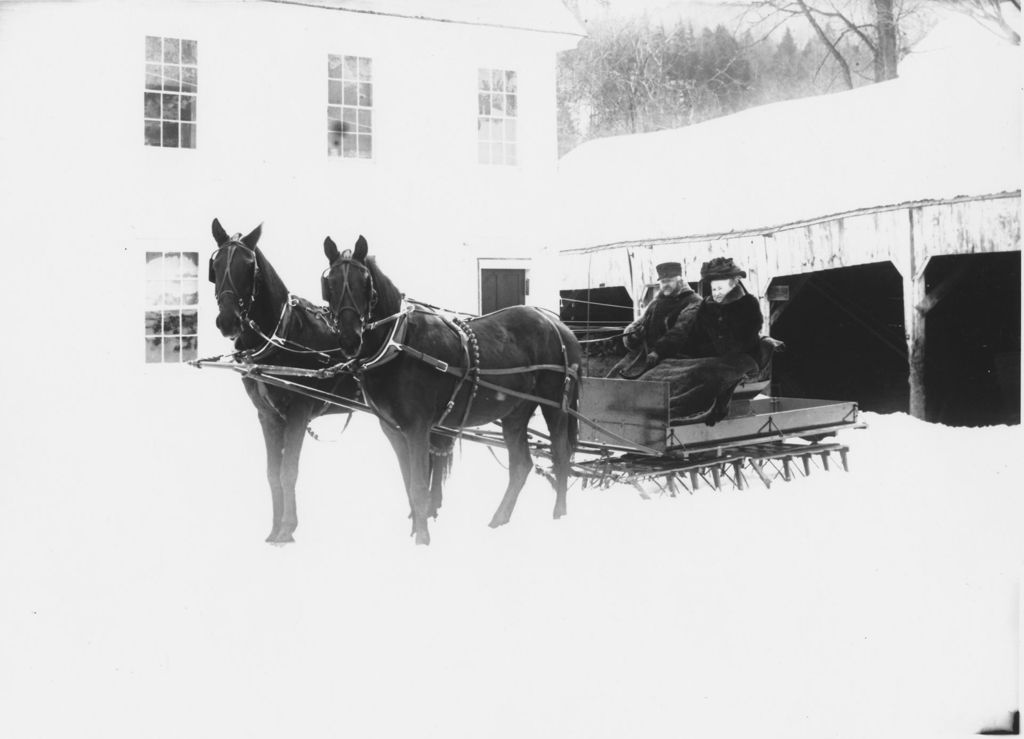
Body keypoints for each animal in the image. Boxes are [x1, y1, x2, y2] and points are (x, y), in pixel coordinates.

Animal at [207, 219, 452, 540]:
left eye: (249, 266)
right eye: (216, 264)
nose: (228, 320)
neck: (281, 336)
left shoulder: (297, 412)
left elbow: (288, 471)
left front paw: (286, 531)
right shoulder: (267, 416)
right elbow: (272, 474)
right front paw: (274, 531)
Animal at [319, 233, 581, 544]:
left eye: (365, 283)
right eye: (330, 283)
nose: (350, 339)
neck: (399, 343)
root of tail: (558, 325)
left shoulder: (418, 427)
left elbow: (420, 485)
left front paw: (422, 539)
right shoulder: (395, 430)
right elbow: (409, 484)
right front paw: (415, 530)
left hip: (554, 405)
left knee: (561, 455)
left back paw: (559, 515)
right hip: (515, 412)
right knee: (521, 465)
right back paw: (499, 518)